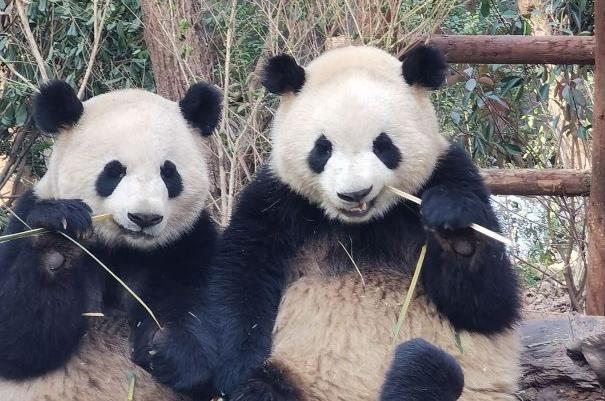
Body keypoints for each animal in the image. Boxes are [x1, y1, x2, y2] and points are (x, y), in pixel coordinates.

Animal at [0, 81, 222, 400]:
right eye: (114, 171)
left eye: (168, 173)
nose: (144, 217)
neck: (122, 249)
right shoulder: (23, 219)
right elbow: (18, 339)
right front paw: (60, 230)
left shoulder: (189, 243)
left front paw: (168, 351)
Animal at [203, 45, 520, 400]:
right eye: (322, 148)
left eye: (383, 145)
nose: (355, 193)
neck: (363, 224)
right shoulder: (279, 200)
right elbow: (241, 278)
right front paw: (238, 372)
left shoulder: (451, 172)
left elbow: (489, 308)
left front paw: (455, 229)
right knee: (270, 387)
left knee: (438, 366)